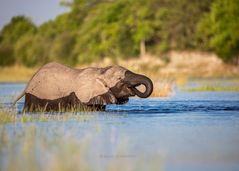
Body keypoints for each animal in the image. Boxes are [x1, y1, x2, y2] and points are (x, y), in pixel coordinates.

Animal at [12, 62, 153, 111]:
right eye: (119, 79)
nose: (133, 87)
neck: (100, 72)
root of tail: (28, 84)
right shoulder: (80, 96)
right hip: (34, 97)